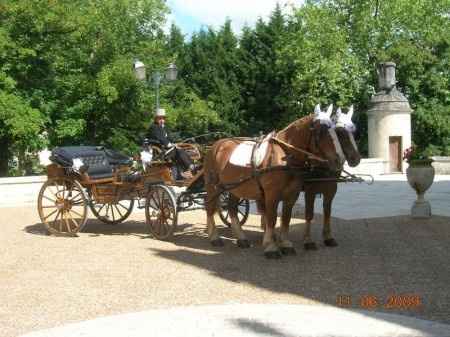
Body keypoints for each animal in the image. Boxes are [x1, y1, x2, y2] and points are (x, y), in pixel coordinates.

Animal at [204, 105, 344, 258]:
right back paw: (214, 237)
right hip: (213, 186)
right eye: (321, 131)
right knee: (210, 206)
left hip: (235, 187)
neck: (284, 156)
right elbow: (272, 218)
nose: (339, 159)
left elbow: (286, 218)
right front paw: (271, 247)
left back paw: (241, 239)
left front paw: (286, 244)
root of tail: (216, 145)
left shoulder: (292, 194)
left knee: (232, 208)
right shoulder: (272, 194)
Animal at [302, 105, 362, 249]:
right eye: (340, 131)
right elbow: (309, 214)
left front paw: (328, 237)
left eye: (354, 131)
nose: (356, 159)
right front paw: (308, 240)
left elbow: (327, 211)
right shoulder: (310, 191)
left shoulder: (331, 189)